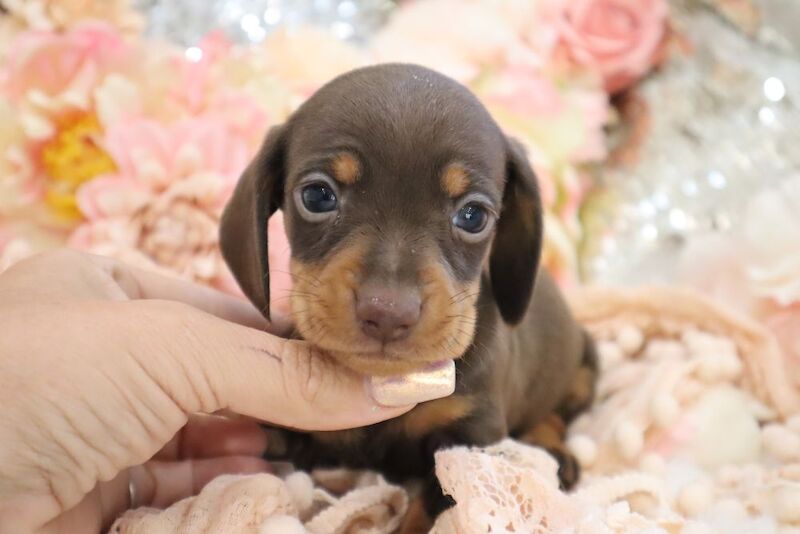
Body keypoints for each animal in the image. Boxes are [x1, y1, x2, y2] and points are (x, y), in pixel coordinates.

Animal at [217, 63, 592, 524]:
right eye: (317, 195)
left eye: (474, 215)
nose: (388, 313)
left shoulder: (468, 438)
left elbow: (428, 510)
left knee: (556, 415)